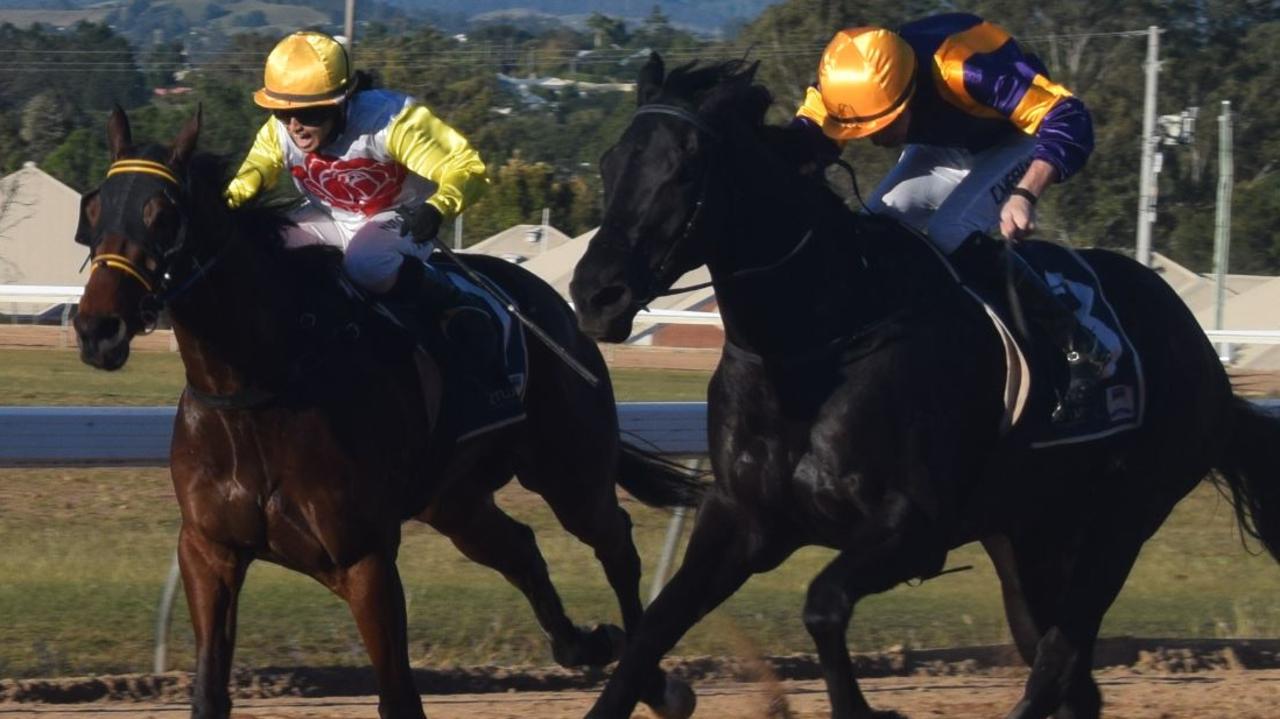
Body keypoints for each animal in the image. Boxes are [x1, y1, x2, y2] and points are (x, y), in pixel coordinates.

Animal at [73, 106, 706, 716]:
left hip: (570, 470)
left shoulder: (365, 558)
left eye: (163, 214)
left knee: (614, 542)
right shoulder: (209, 551)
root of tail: (561, 312)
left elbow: (400, 697)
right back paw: (592, 644)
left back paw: (651, 678)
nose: (97, 328)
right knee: (522, 548)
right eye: (95, 206)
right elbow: (208, 693)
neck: (260, 390)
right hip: (454, 499)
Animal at [570, 54, 1280, 716]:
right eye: (609, 163)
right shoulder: (742, 518)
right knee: (1065, 670)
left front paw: (865, 708)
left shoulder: (912, 525)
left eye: (684, 169)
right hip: (1028, 536)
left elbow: (822, 604)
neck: (819, 343)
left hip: (1123, 521)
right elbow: (653, 629)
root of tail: (1204, 358)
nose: (594, 293)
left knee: (1057, 657)